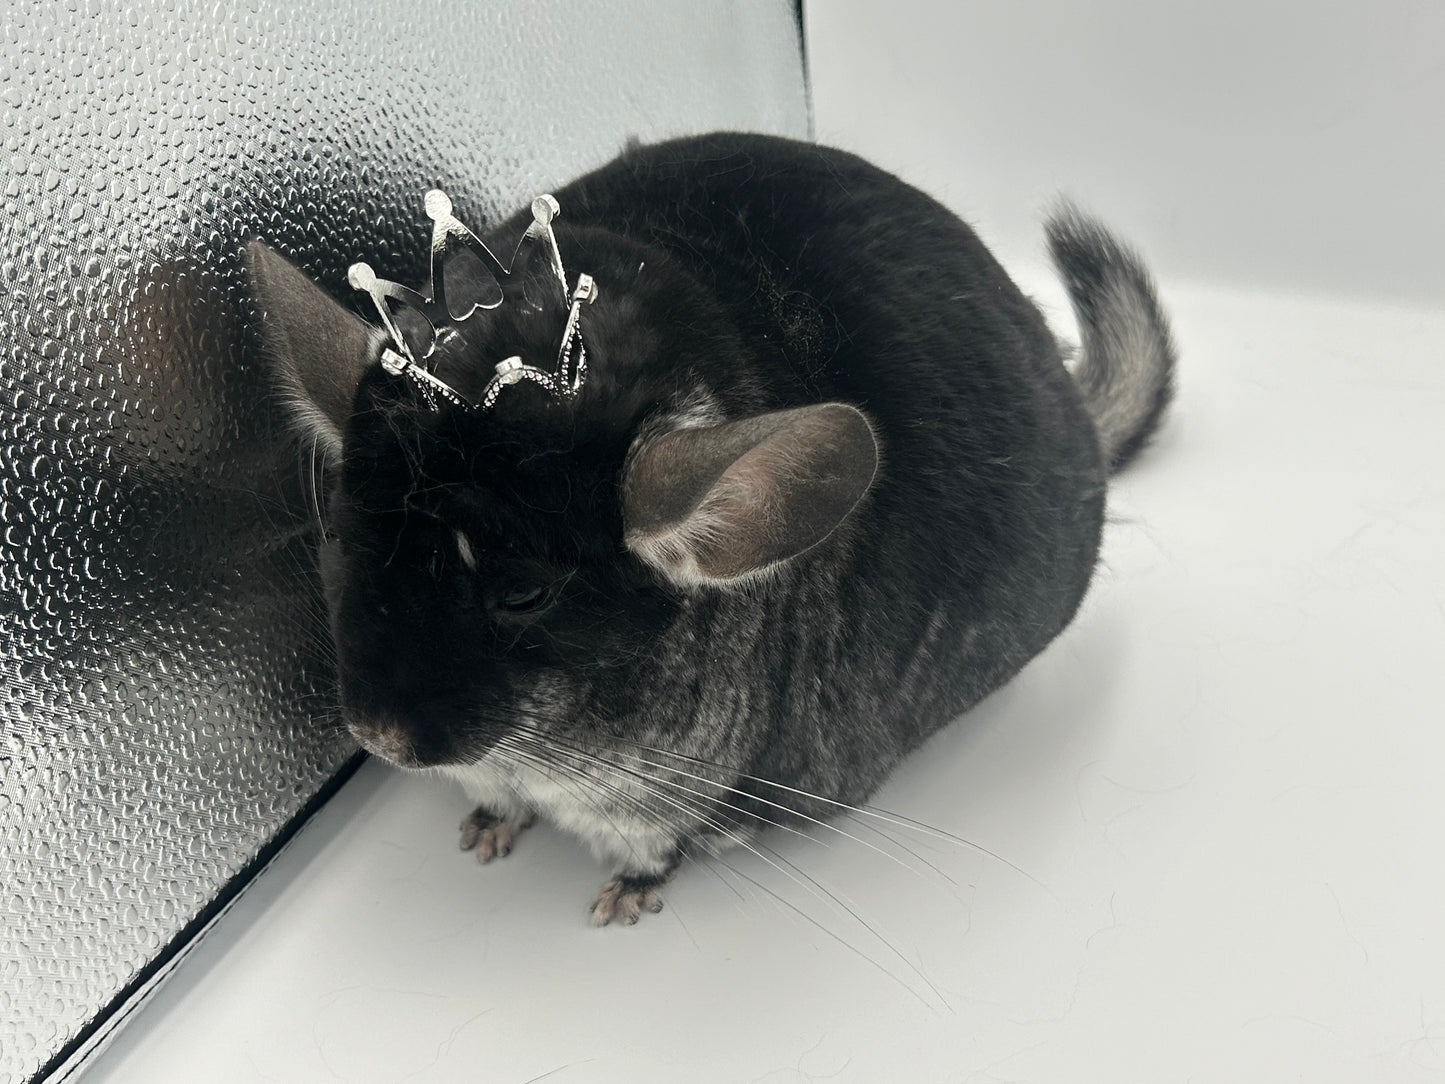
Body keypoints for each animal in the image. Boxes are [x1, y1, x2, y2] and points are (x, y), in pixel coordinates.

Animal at [245, 132, 1175, 925]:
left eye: (523, 594)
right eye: (341, 541)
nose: (377, 737)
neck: (535, 763)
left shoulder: (657, 810)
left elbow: (655, 852)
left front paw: (620, 902)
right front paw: (483, 830)